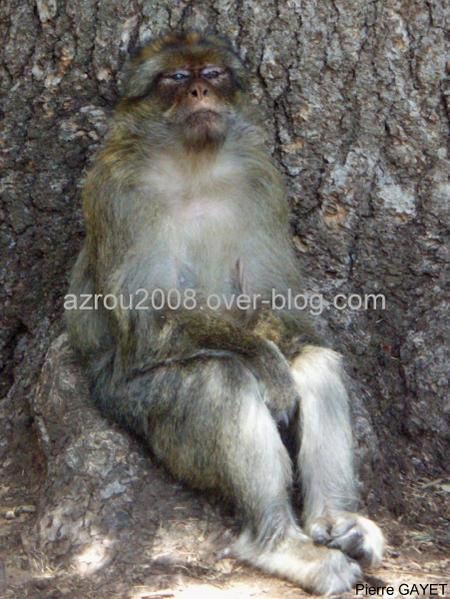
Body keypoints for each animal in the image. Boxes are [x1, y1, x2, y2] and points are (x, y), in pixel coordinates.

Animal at [65, 31, 384, 596]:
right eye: (175, 77)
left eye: (211, 72)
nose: (198, 90)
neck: (193, 164)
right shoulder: (115, 189)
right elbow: (149, 320)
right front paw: (266, 361)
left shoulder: (261, 179)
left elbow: (279, 300)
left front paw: (280, 357)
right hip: (128, 400)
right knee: (221, 379)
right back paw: (279, 542)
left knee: (314, 361)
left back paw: (335, 523)